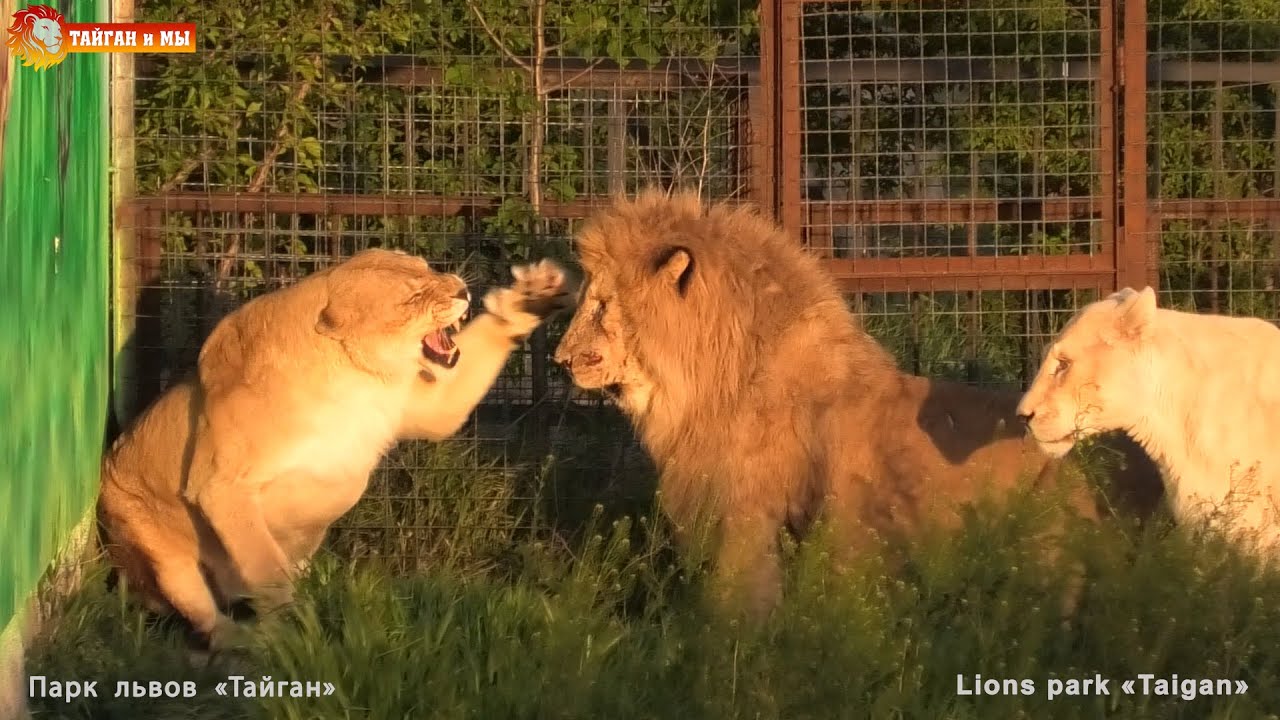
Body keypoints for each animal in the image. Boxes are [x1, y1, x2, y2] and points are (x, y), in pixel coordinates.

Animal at [98, 248, 577, 650]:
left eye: (426, 268)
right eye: (412, 294)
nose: (460, 289)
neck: (350, 376)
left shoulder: (424, 404)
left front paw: (532, 297)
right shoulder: (221, 486)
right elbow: (267, 570)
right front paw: (296, 633)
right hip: (152, 547)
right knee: (200, 609)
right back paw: (242, 639)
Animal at [553, 190, 1163, 617]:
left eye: (601, 305)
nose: (560, 359)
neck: (708, 385)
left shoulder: (748, 516)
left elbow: (738, 603)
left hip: (1053, 557)